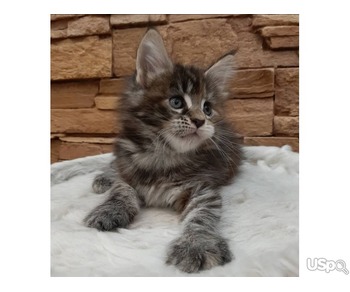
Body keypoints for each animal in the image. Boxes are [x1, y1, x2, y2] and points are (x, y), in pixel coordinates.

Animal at [85, 28, 243, 272]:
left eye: (207, 108)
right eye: (176, 102)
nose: (200, 121)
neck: (162, 153)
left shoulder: (202, 188)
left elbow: (201, 216)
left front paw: (197, 244)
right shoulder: (129, 175)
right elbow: (121, 190)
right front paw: (109, 210)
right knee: (115, 164)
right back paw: (105, 177)